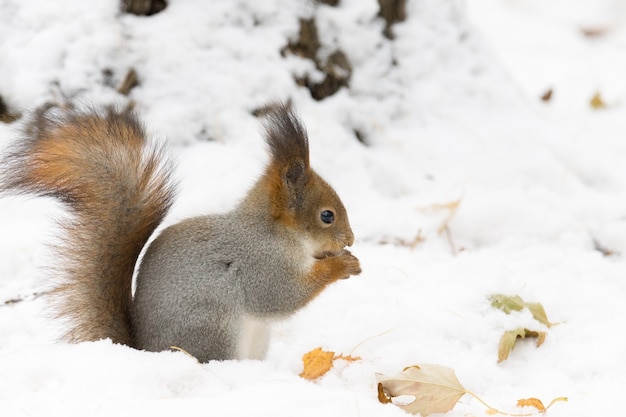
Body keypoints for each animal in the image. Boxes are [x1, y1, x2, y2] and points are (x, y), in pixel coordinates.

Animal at [1, 103, 360, 360]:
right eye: (327, 216)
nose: (351, 240)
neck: (274, 232)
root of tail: (144, 351)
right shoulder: (260, 265)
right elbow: (281, 296)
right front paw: (341, 265)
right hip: (212, 329)